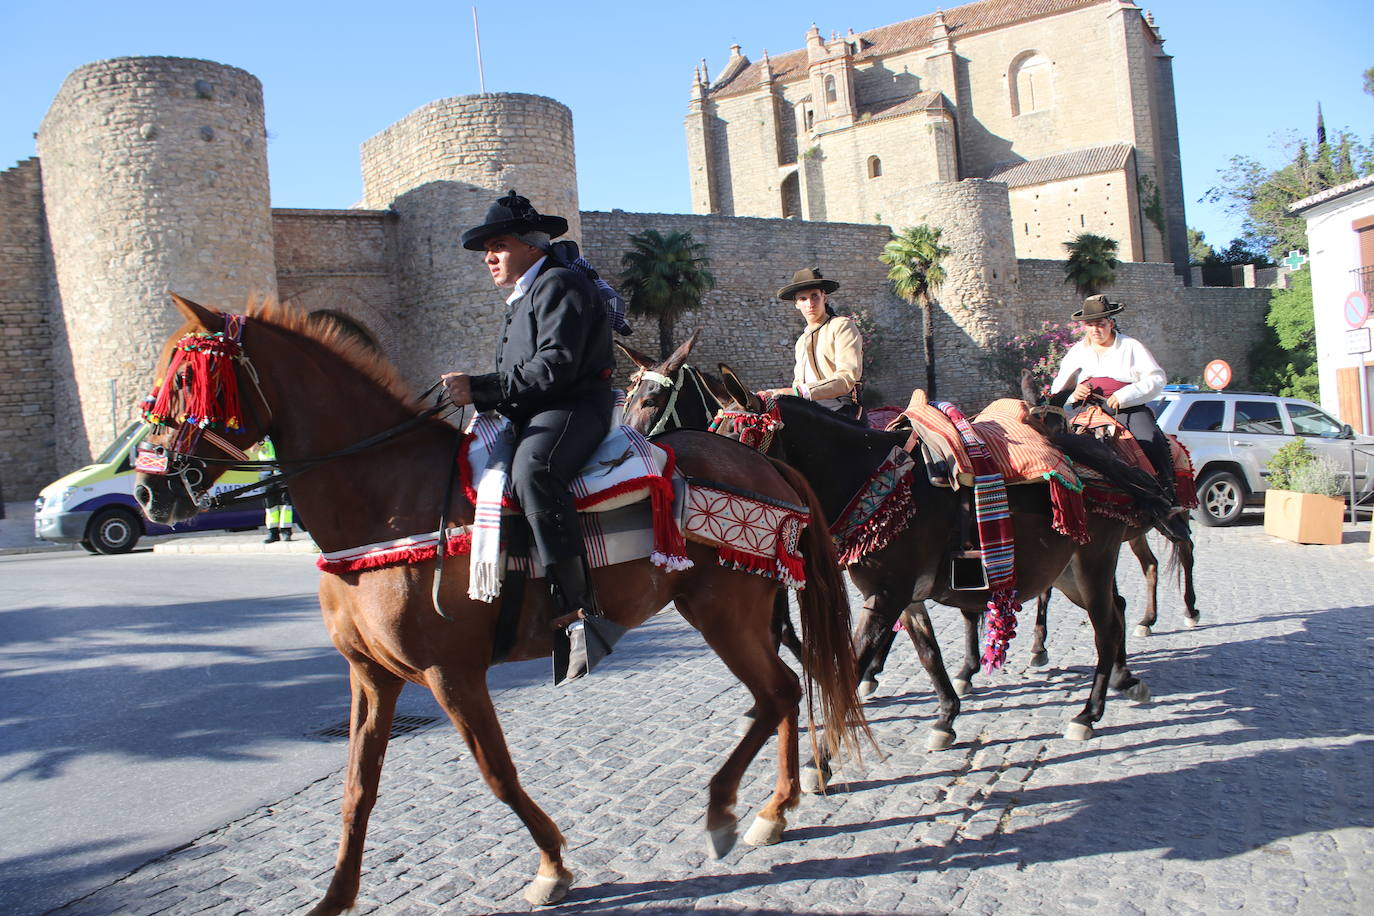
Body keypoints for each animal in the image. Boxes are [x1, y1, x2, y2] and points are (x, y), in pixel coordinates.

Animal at [133, 298, 862, 911]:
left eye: (186, 379)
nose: (147, 492)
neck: (386, 498)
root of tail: (763, 462)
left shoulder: (452, 673)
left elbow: (498, 774)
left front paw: (552, 867)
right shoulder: (370, 676)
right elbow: (357, 791)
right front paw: (335, 897)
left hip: (724, 613)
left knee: (777, 693)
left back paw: (728, 808)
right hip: (742, 612)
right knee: (785, 691)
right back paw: (776, 806)